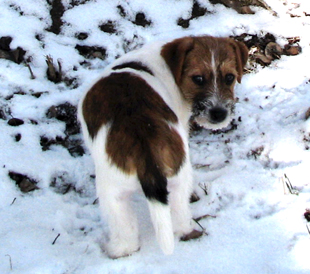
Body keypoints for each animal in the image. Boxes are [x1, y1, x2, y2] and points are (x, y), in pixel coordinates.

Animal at [78, 35, 248, 258]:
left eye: (229, 78)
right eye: (198, 79)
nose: (219, 114)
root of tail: (144, 141)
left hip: (111, 190)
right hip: (169, 180)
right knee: (177, 220)